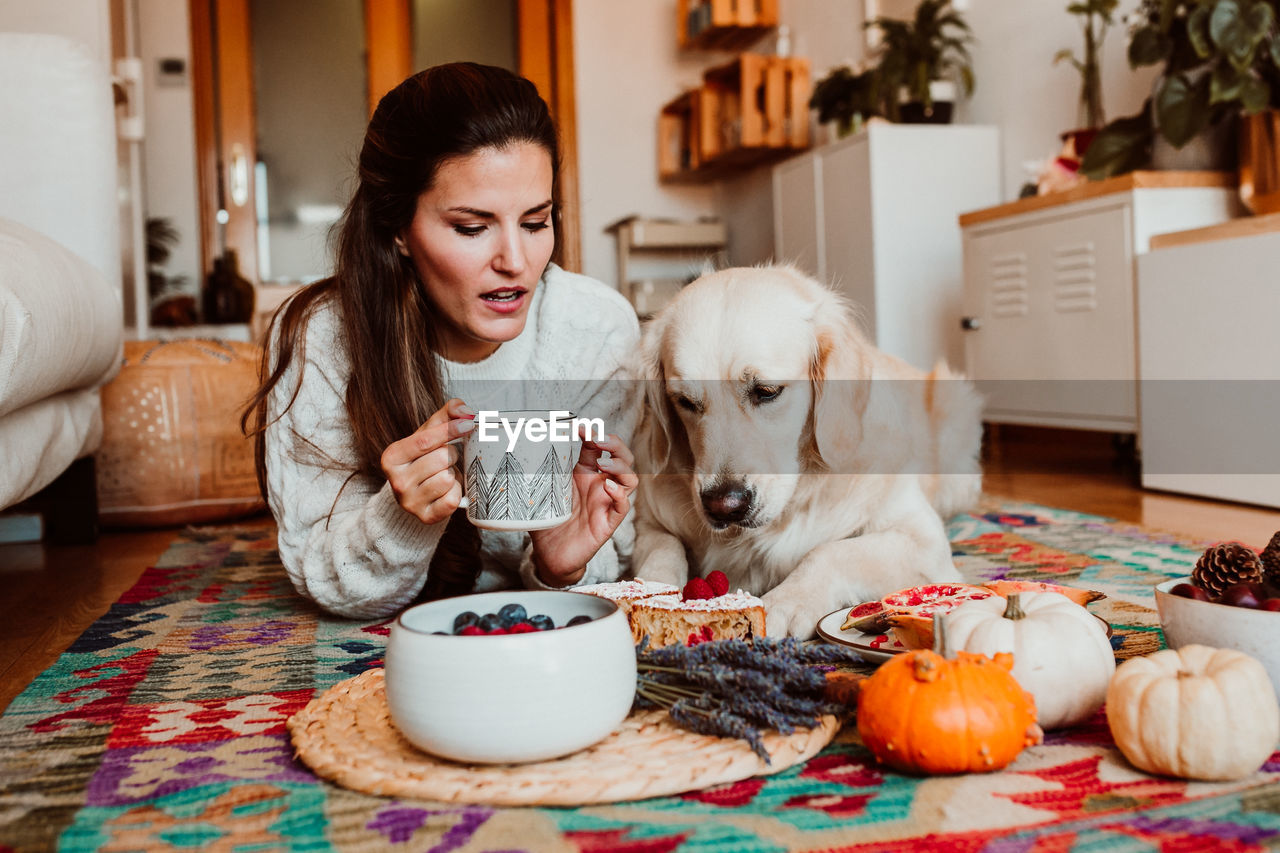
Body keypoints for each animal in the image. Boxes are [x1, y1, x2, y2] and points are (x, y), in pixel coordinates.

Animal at [634, 263, 983, 630]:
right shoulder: (647, 523)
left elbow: (831, 551)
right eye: (684, 401)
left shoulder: (922, 541)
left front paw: (786, 602)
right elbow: (664, 548)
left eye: (767, 391)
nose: (724, 506)